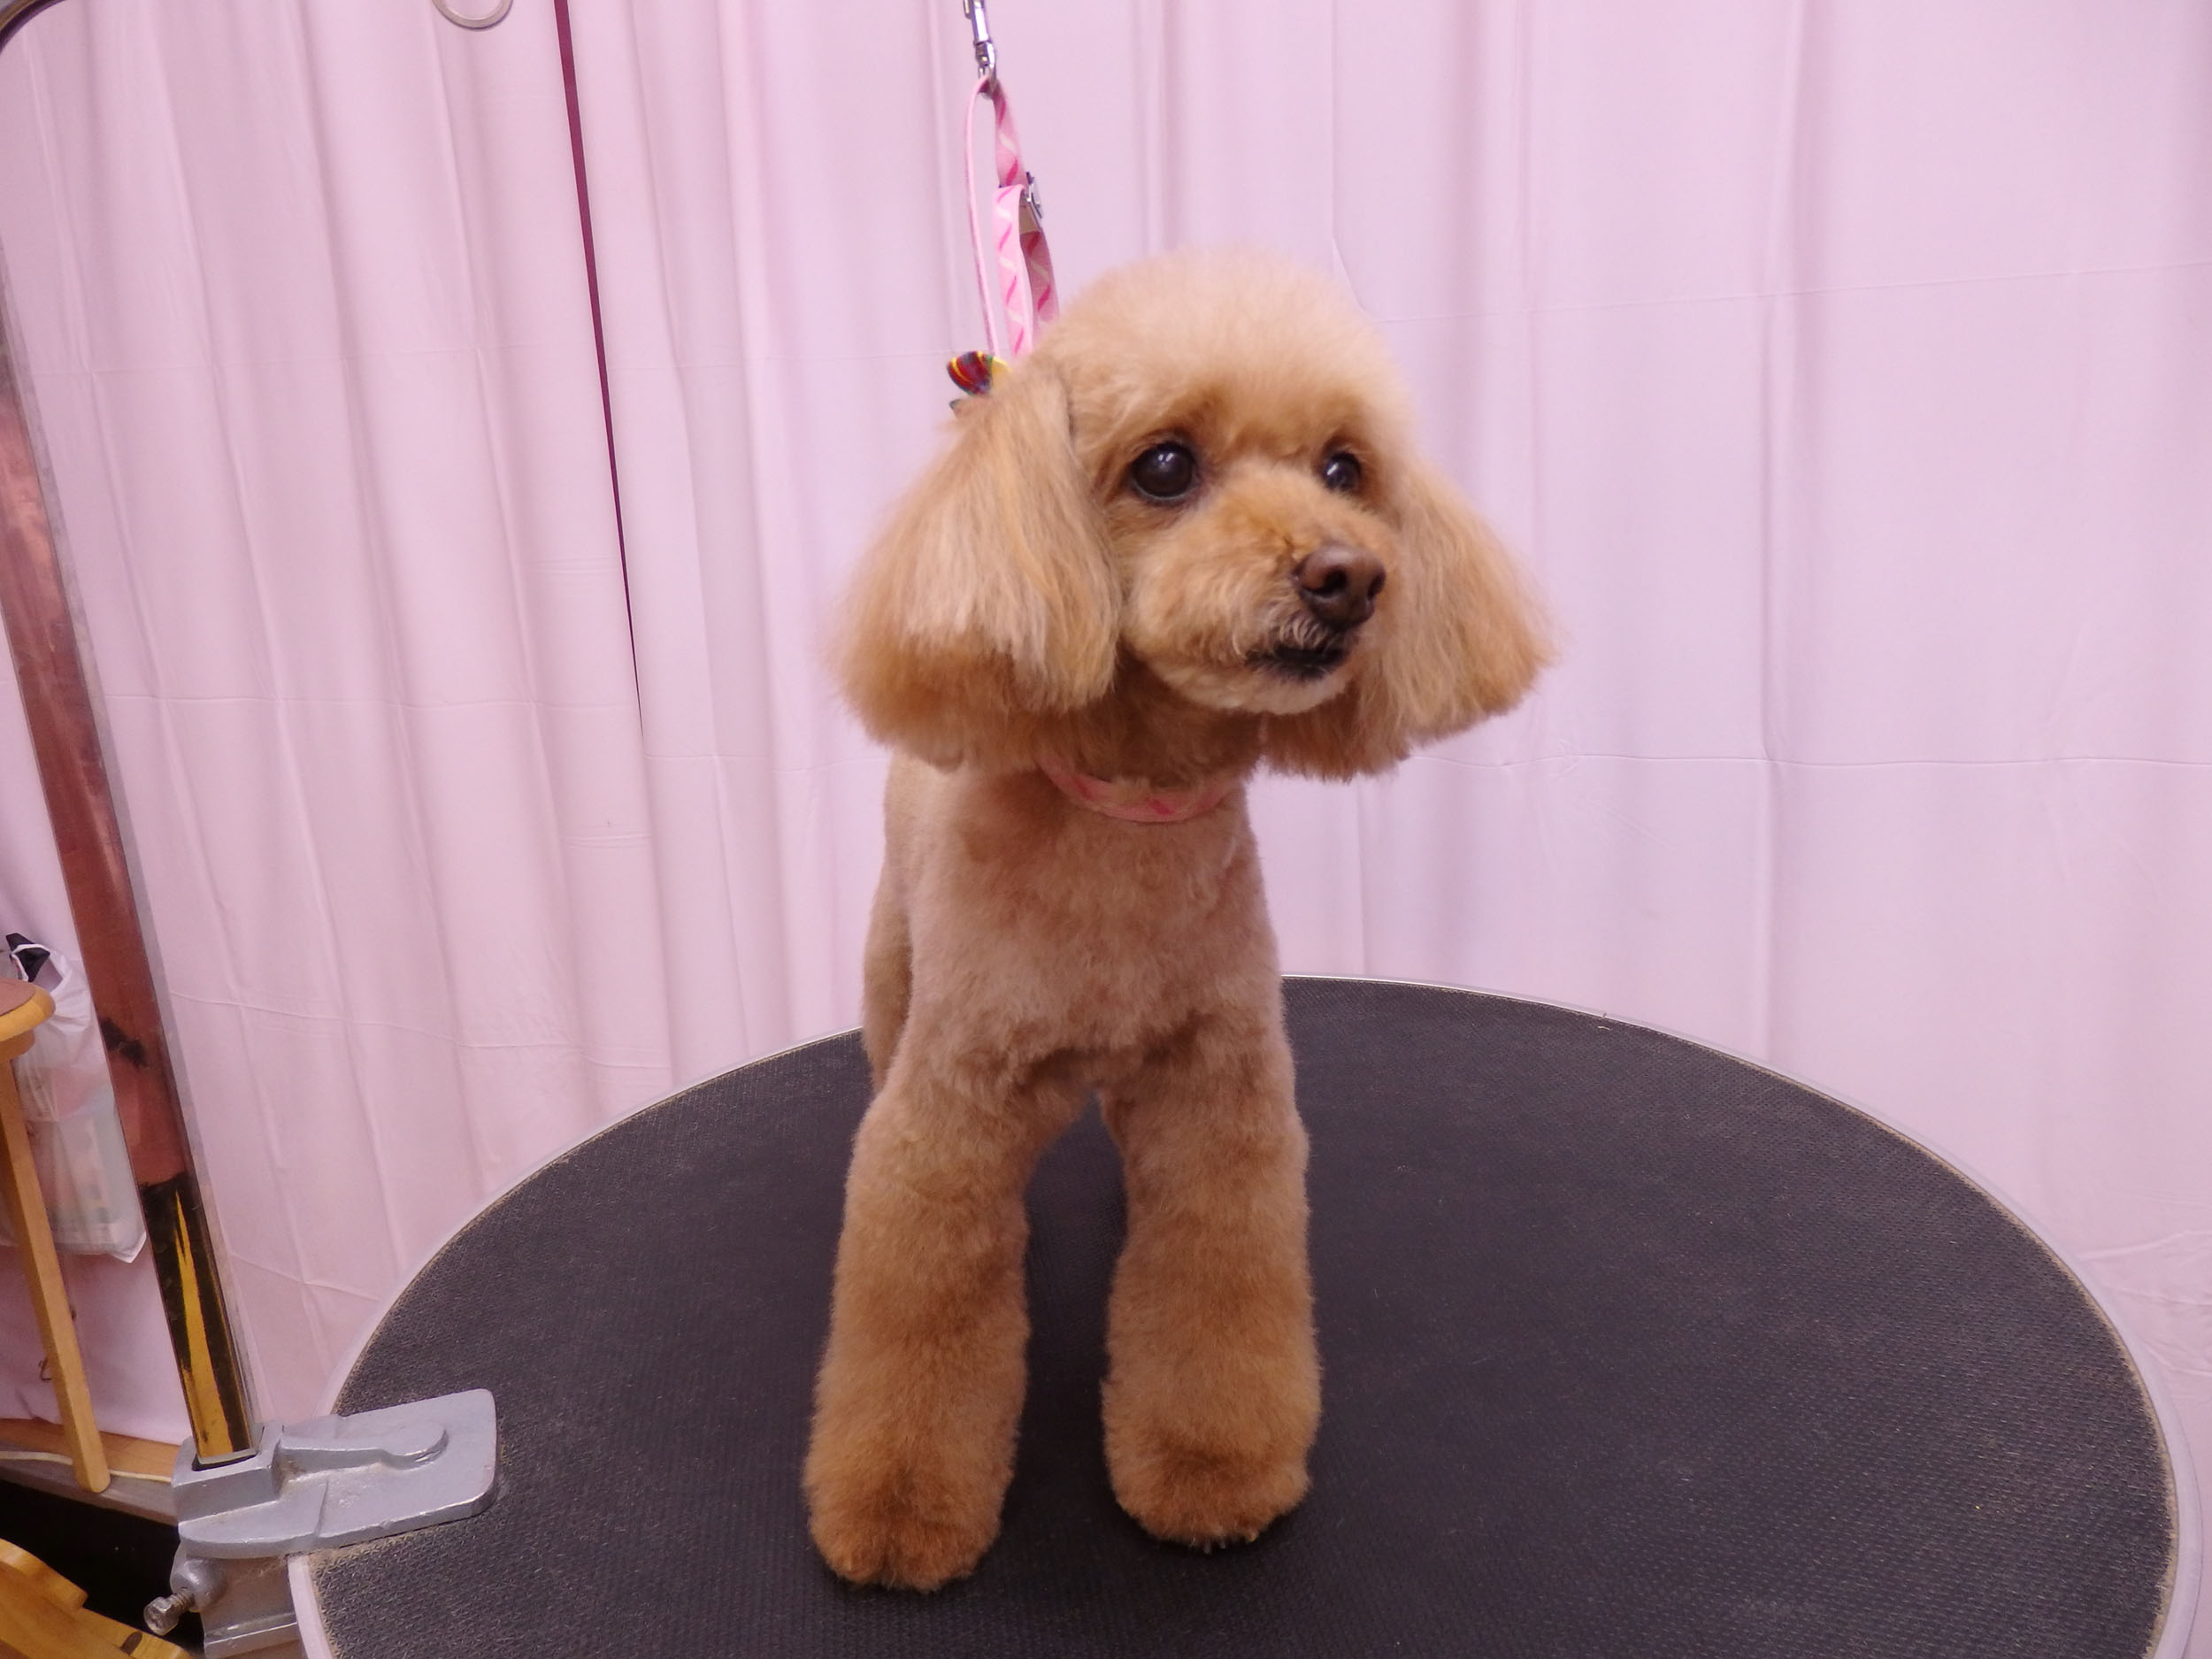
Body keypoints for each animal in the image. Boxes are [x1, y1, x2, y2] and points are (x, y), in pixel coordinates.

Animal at [804, 248, 1549, 1590]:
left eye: (1344, 469)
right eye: (1164, 466)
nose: (1349, 574)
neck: (1131, 815)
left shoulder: (1218, 1096)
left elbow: (1213, 1286)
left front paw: (1209, 1468)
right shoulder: (946, 1120)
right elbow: (918, 1308)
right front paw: (897, 1508)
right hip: (893, 964)